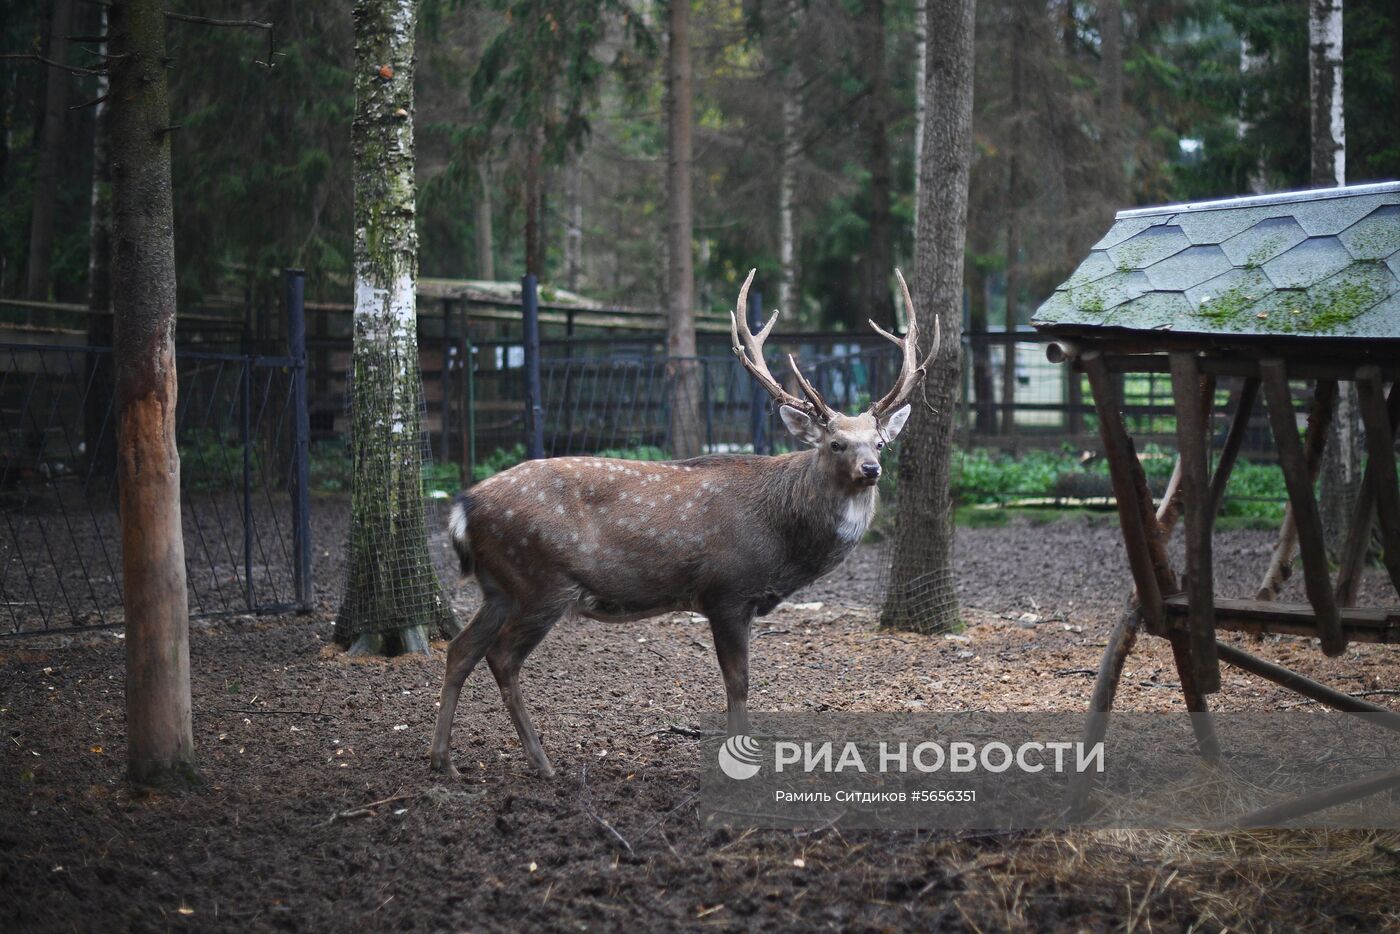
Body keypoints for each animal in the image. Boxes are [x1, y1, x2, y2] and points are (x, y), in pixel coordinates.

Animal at [434, 271, 940, 784]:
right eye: (836, 443)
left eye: (880, 442)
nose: (871, 468)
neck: (784, 546)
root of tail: (464, 507)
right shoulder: (728, 591)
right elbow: (738, 682)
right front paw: (742, 761)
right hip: (542, 580)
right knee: (501, 657)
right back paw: (542, 763)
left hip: (500, 586)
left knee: (459, 649)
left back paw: (444, 760)